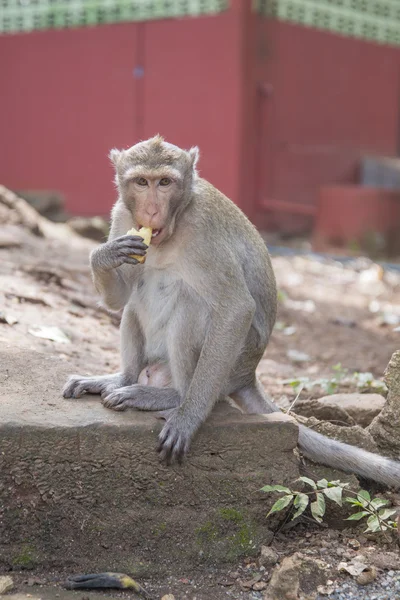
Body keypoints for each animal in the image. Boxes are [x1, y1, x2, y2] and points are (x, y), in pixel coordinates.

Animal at [63, 134, 400, 486]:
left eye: (165, 182)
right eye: (142, 182)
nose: (152, 210)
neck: (174, 224)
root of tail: (249, 375)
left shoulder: (202, 231)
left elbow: (237, 308)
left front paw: (189, 417)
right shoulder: (123, 218)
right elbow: (119, 297)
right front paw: (103, 255)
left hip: (232, 364)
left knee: (192, 303)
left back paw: (174, 397)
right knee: (134, 303)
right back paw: (121, 379)